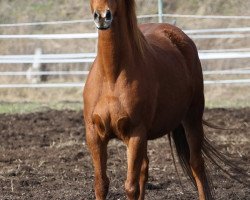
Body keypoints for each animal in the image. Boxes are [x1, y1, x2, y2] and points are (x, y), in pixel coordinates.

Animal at [83, 0, 218, 200]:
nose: (102, 16)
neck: (111, 76)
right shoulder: (94, 134)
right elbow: (101, 184)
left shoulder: (136, 134)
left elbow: (130, 187)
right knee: (144, 170)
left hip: (192, 118)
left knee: (196, 164)